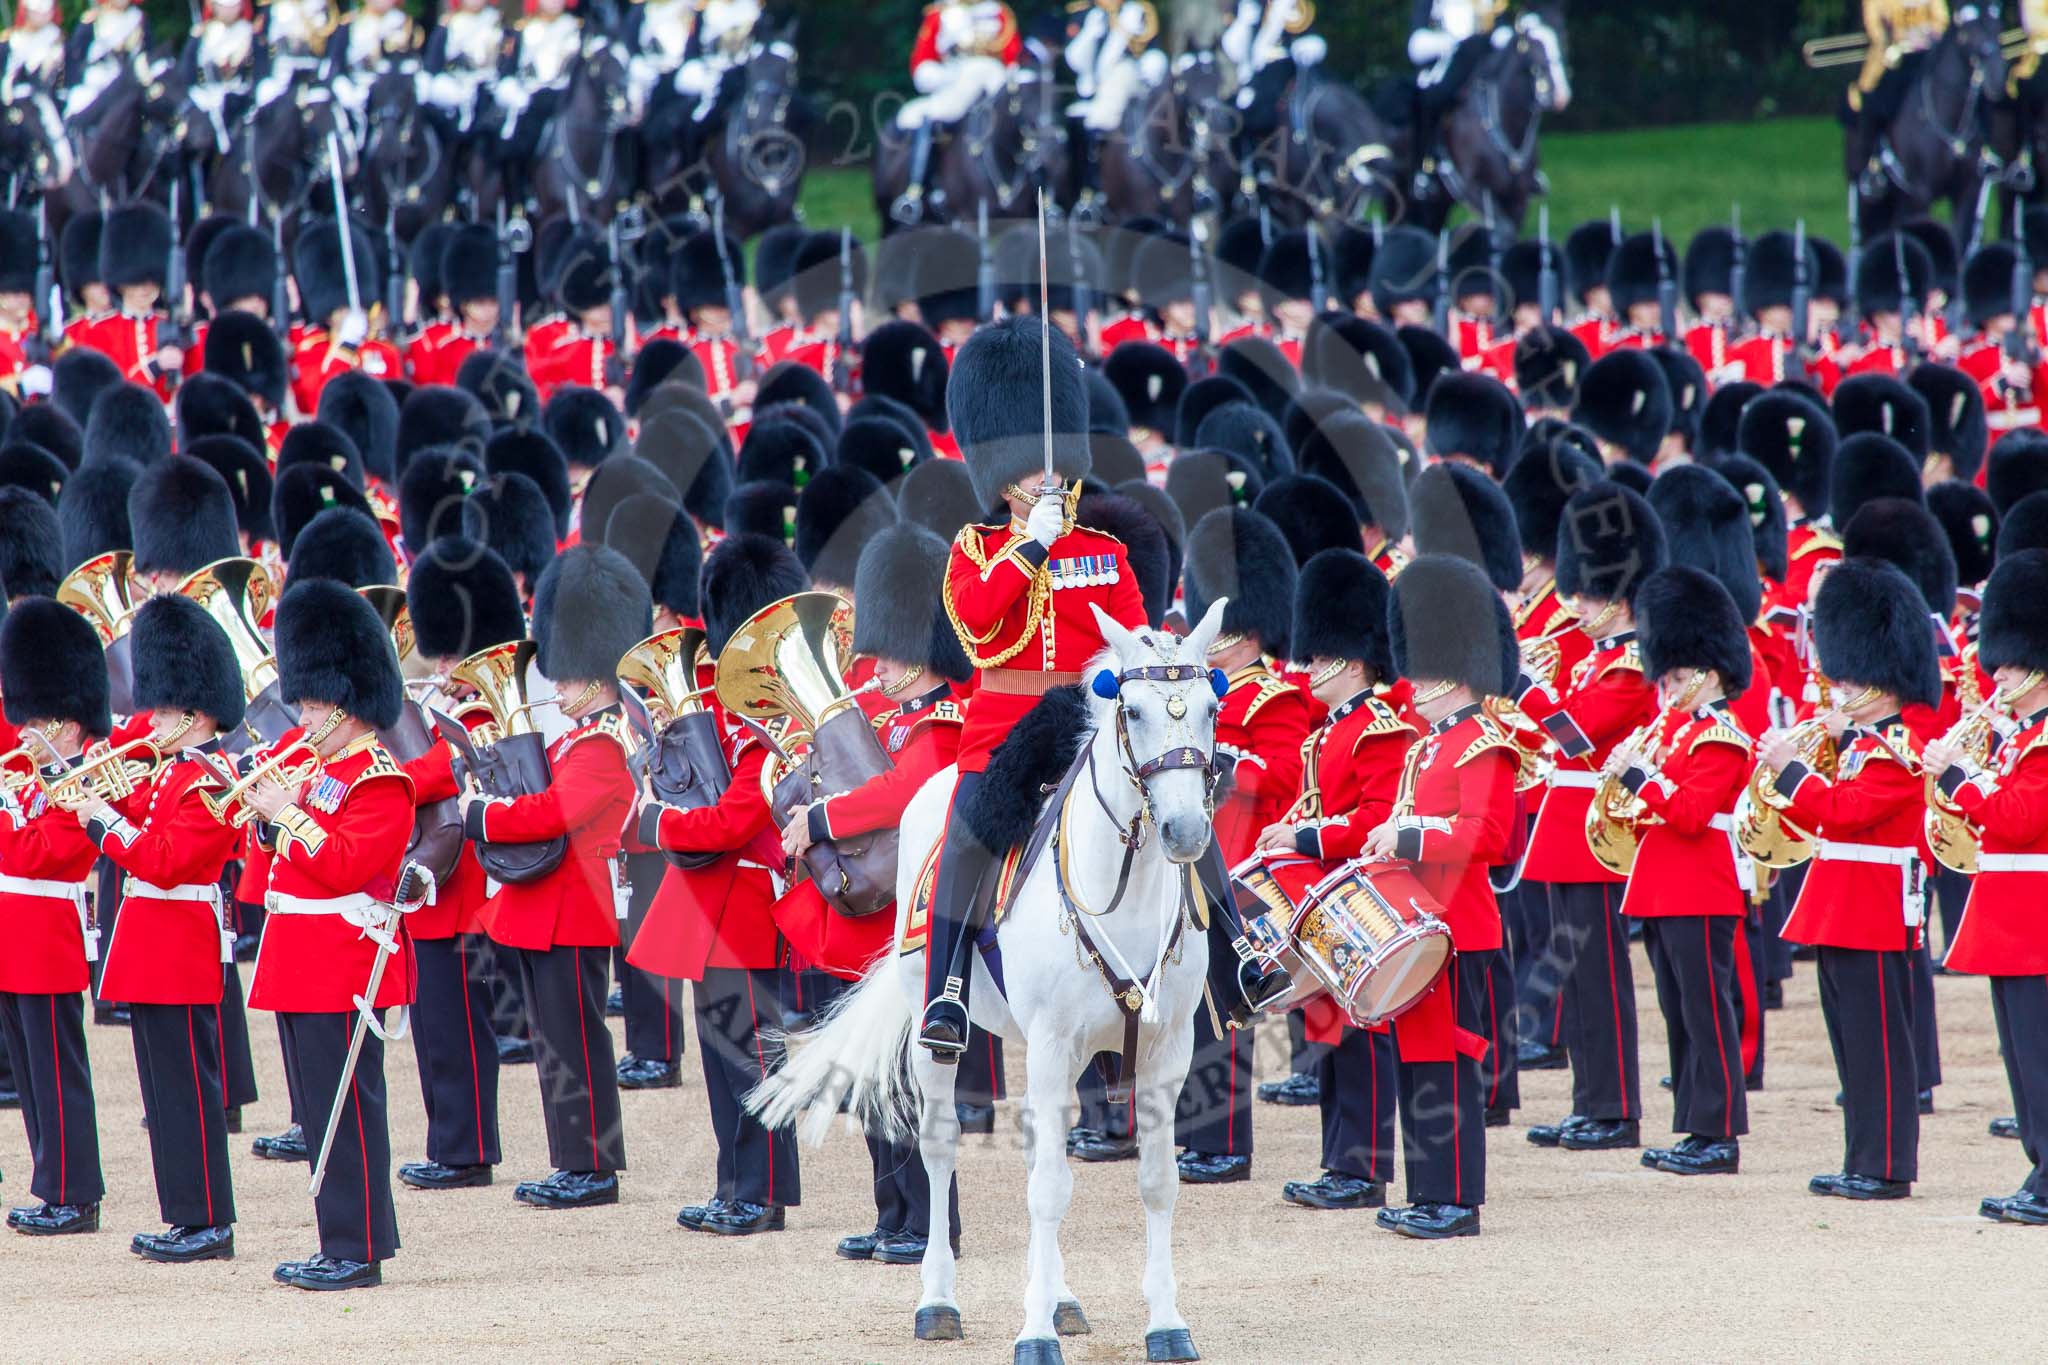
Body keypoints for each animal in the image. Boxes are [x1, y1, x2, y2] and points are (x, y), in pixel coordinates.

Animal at [757, 605, 1220, 1365]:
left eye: (1212, 707)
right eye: (1134, 708)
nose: (1185, 831)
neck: (1122, 888)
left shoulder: (1164, 1051)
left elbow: (1156, 1184)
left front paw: (1166, 1323)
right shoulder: (1054, 1043)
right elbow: (1049, 1190)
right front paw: (1032, 1334)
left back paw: (1059, 1297)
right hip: (941, 1035)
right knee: (942, 1146)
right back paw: (938, 1301)